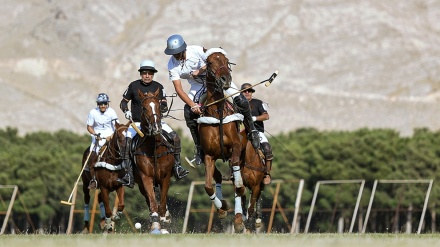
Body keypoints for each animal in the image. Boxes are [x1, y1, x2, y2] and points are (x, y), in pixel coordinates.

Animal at [133, 88, 174, 233]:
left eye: (159, 106)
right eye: (144, 108)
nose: (156, 128)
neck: (154, 148)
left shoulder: (166, 176)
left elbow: (162, 200)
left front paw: (164, 219)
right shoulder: (146, 177)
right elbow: (152, 201)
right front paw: (156, 223)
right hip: (140, 184)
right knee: (149, 199)